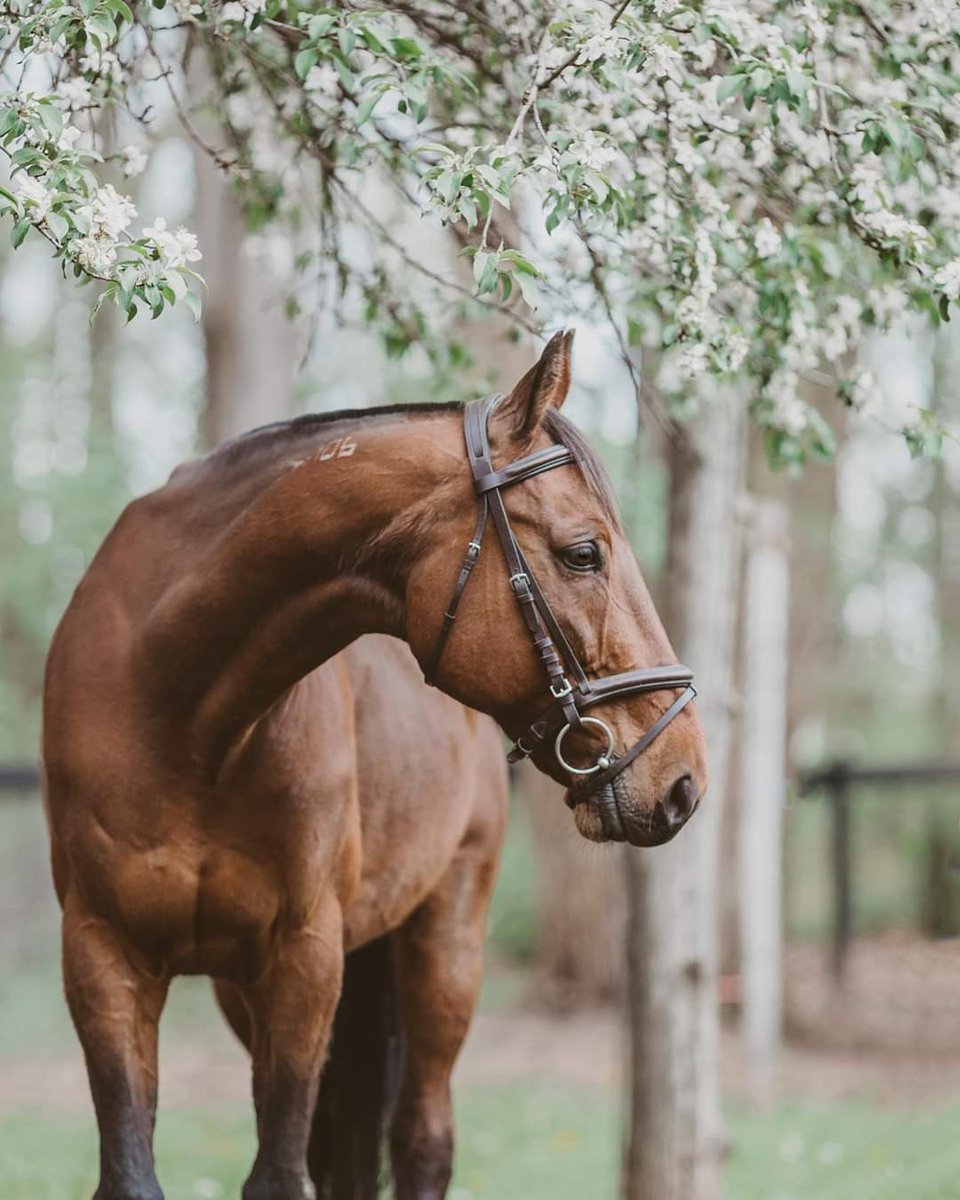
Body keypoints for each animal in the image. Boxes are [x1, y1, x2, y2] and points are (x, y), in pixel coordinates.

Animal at [42, 330, 708, 1200]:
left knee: (423, 1137)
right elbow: (134, 1170)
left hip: (444, 949)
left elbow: (280, 1174)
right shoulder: (102, 956)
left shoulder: (304, 959)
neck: (177, 713)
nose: (683, 779)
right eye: (583, 553)